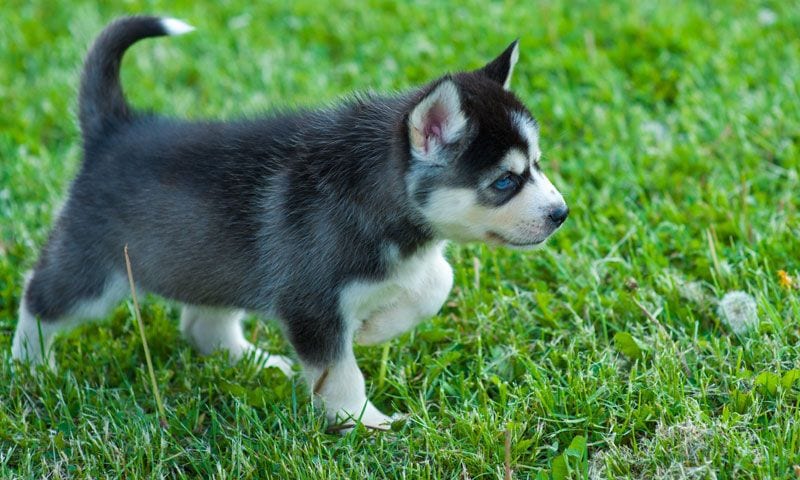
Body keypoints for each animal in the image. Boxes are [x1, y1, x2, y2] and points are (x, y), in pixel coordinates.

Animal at [15, 16, 572, 432]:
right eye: (505, 181)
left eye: (537, 165)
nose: (561, 214)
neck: (372, 194)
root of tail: (116, 128)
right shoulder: (311, 304)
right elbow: (341, 372)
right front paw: (364, 422)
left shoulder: (402, 262)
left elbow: (440, 279)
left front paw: (376, 328)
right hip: (95, 272)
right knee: (39, 296)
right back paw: (30, 367)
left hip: (214, 265)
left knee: (201, 325)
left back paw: (255, 362)